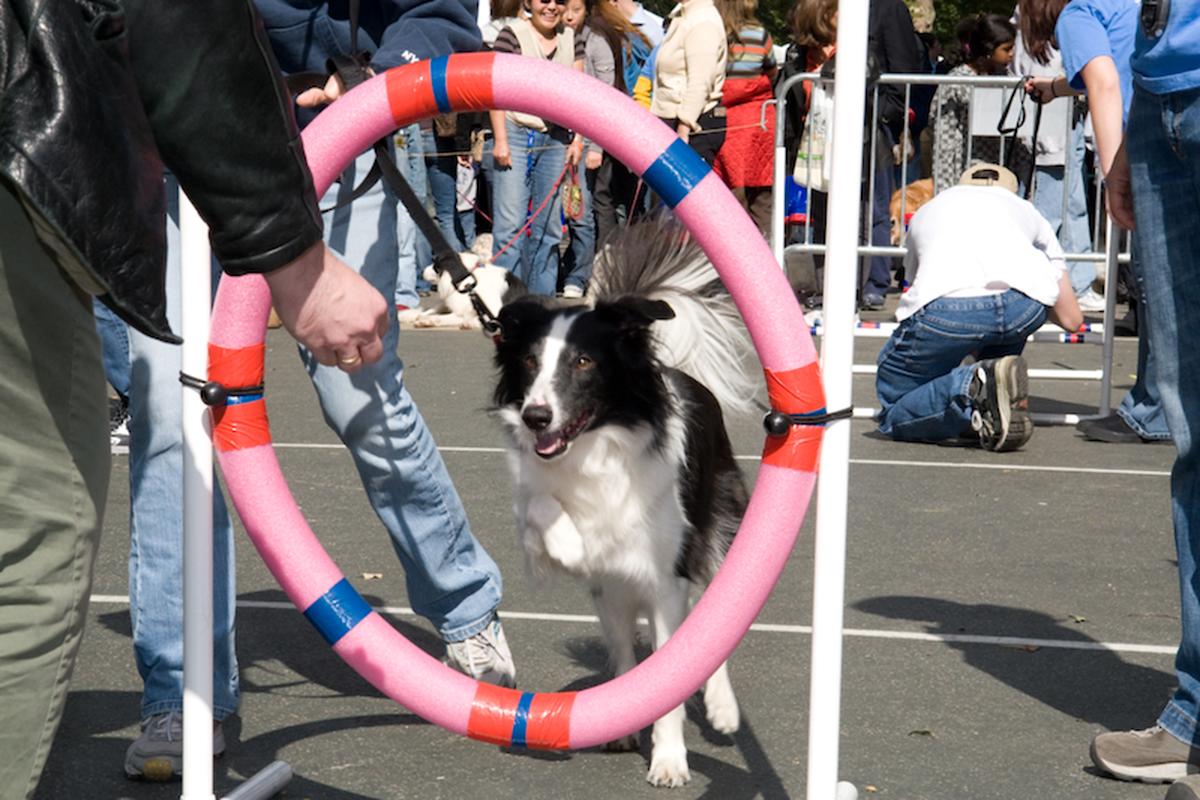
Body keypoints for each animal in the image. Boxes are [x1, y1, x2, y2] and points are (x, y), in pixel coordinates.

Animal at [492, 219, 753, 786]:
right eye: (529, 361)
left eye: (583, 361)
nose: (536, 417)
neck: (597, 446)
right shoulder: (536, 517)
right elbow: (540, 512)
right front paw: (571, 545)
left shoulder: (667, 579)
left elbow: (674, 674)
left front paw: (670, 759)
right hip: (608, 597)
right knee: (626, 652)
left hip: (717, 536)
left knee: (712, 623)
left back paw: (722, 708)